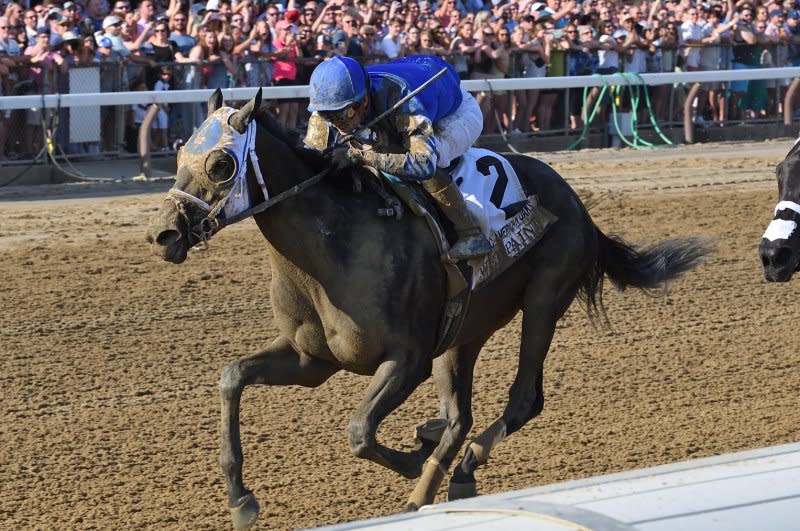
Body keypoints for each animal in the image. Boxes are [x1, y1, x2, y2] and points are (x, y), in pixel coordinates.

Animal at [147, 89, 708, 528]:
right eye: (179, 152)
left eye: (221, 164)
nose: (164, 234)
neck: (335, 245)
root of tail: (579, 206)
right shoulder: (311, 360)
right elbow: (232, 377)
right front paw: (241, 499)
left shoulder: (407, 359)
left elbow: (359, 431)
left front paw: (415, 458)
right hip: (464, 330)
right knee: (460, 415)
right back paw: (436, 468)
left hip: (544, 299)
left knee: (523, 399)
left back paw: (451, 475)